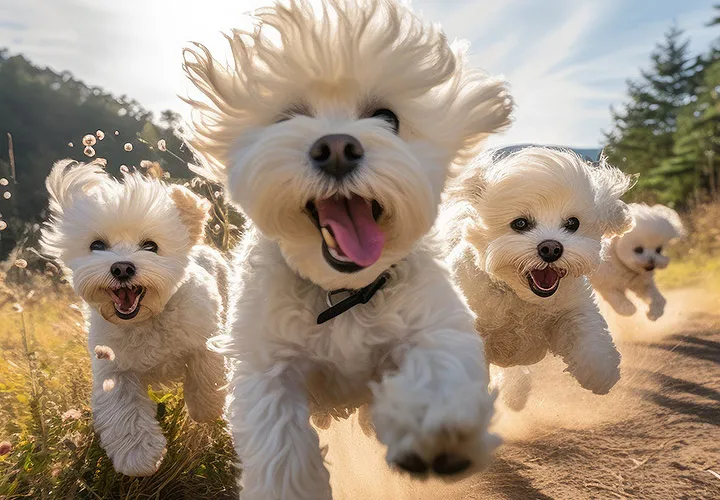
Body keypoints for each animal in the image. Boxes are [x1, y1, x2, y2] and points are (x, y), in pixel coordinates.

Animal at [42, 160, 228, 476]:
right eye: (97, 245)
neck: (146, 319)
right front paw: (139, 455)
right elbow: (124, 409)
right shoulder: (113, 368)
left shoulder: (206, 340)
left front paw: (206, 409)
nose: (121, 268)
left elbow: (206, 374)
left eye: (151, 246)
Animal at [183, 1, 516, 498]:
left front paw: (433, 429)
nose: (337, 146)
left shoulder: (434, 321)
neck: (342, 294)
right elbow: (280, 444)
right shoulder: (265, 363)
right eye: (287, 118)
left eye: (388, 118)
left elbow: (437, 366)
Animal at [442, 147, 632, 398]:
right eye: (520, 223)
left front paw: (600, 374)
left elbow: (588, 336)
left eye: (572, 223)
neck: (521, 299)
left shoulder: (572, 308)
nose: (551, 248)